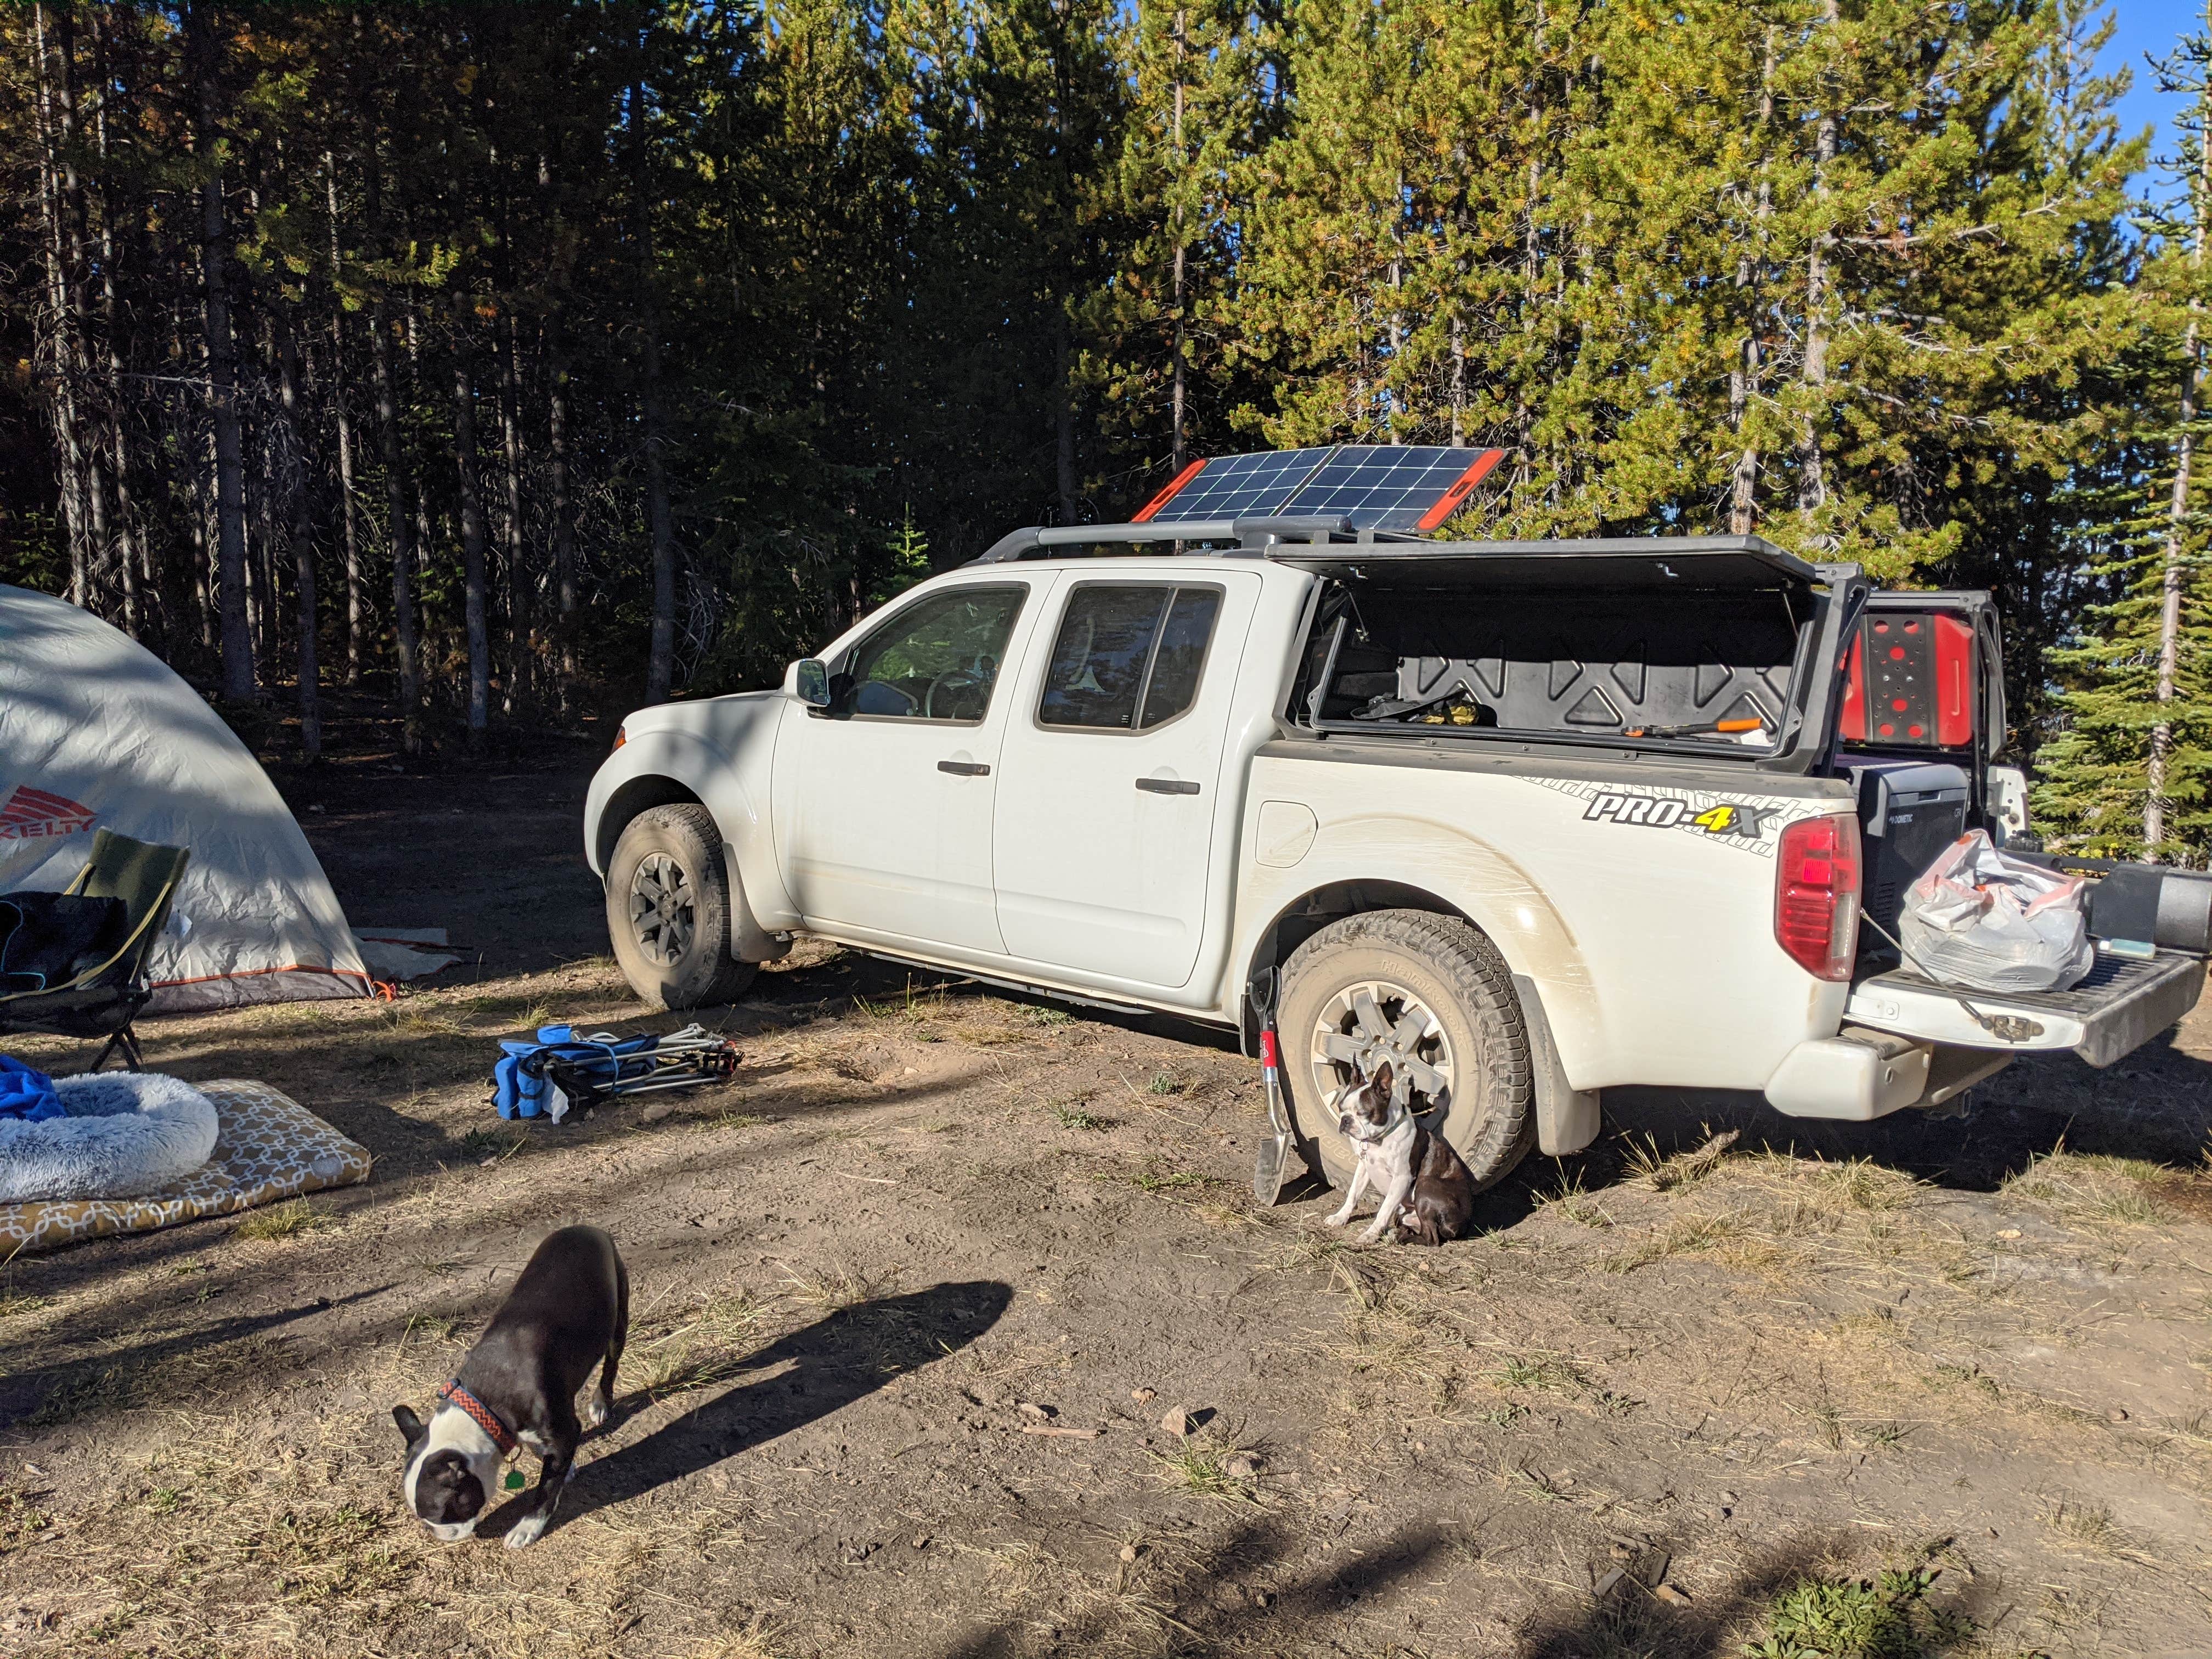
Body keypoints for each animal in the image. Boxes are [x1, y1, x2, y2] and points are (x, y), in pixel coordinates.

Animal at [389, 1229, 628, 1557]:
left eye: (440, 1515)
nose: (434, 1533)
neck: (484, 1404)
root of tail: (586, 1228)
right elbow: (547, 1459)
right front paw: (562, 1467)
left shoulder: (564, 1429)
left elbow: (545, 1490)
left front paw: (528, 1526)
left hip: (618, 1318)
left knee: (611, 1364)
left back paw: (602, 1402)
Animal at [1318, 1066, 1477, 1248]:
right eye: (1340, 1108)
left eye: (1363, 1113)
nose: (1345, 1120)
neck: (1379, 1139)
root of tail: (1462, 1224)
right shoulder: (1364, 1168)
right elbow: (1353, 1194)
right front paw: (1340, 1217)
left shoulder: (1402, 1178)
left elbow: (1384, 1210)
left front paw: (1371, 1234)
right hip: (1405, 1215)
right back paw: (1395, 1232)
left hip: (1426, 1185)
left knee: (1432, 1238)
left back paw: (1397, 1238)